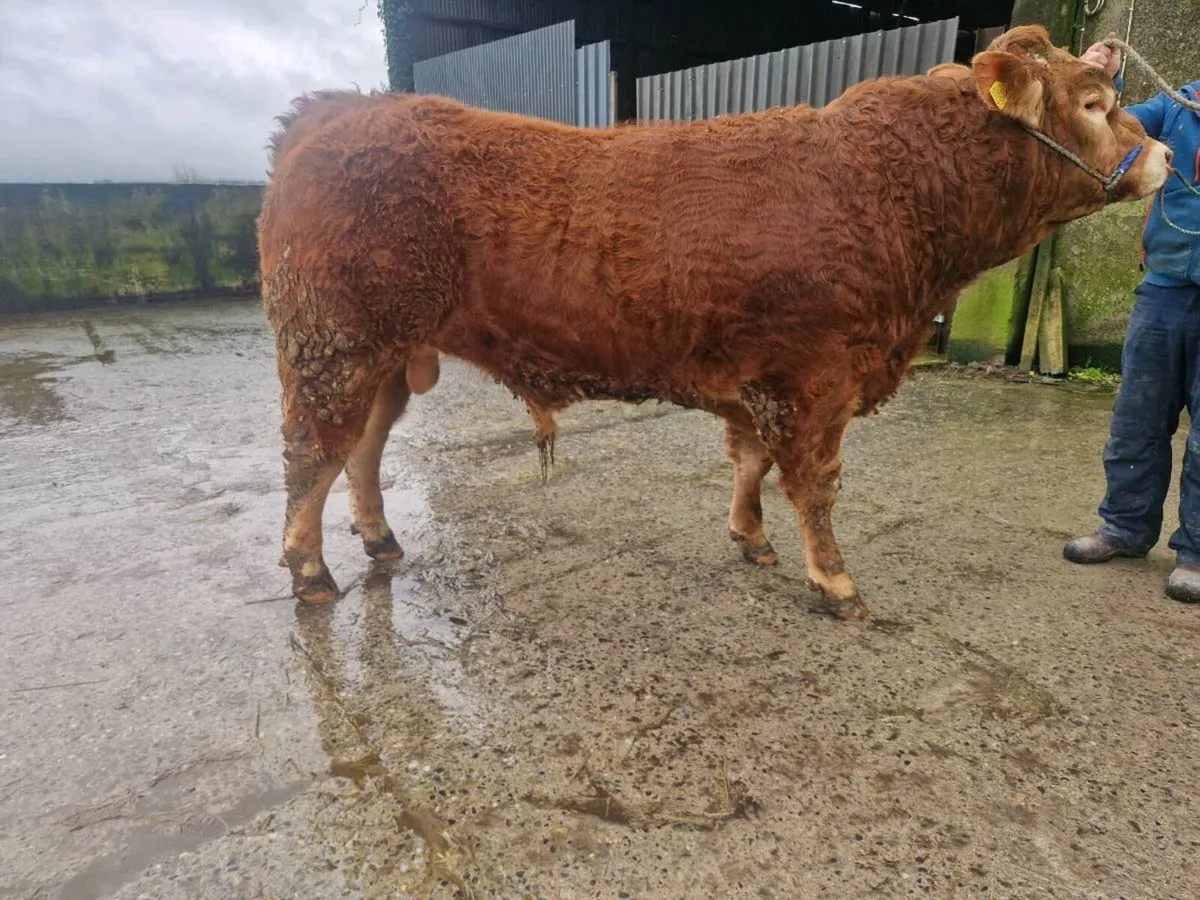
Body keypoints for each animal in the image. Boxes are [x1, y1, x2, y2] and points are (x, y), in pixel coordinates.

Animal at [258, 25, 1170, 620]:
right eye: (1096, 102)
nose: (1165, 155)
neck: (885, 188)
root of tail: (331, 112)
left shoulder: (761, 373)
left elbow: (753, 462)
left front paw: (752, 538)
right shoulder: (814, 377)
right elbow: (815, 482)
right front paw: (835, 582)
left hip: (385, 353)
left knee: (362, 448)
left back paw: (378, 540)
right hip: (333, 345)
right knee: (313, 455)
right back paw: (309, 572)